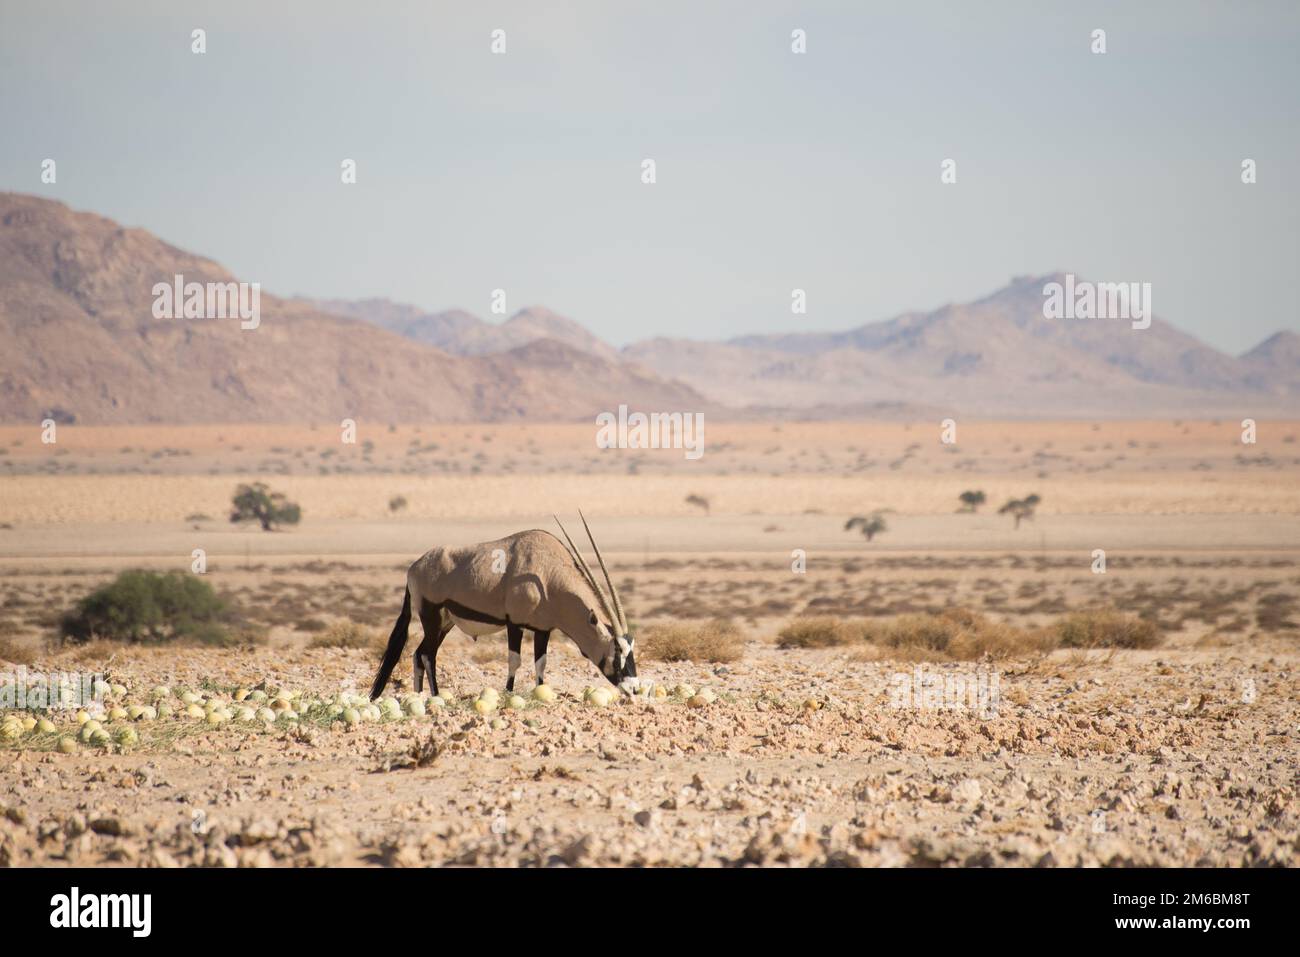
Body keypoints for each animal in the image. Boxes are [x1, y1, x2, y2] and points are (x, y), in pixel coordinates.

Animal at [369, 512, 637, 696]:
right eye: (617, 652)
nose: (634, 688)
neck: (548, 576)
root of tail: (414, 567)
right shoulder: (514, 623)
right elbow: (514, 660)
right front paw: (508, 693)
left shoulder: (543, 629)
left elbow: (541, 663)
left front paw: (540, 692)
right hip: (431, 617)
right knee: (426, 654)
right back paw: (435, 696)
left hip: (444, 623)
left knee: (419, 653)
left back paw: (420, 695)